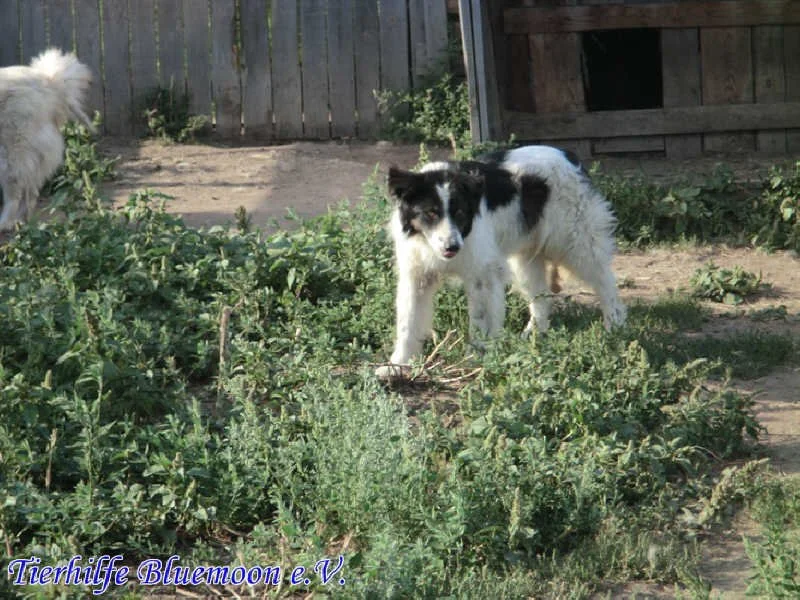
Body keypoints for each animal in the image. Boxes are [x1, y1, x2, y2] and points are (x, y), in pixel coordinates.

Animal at [0, 48, 93, 231]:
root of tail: (51, 83)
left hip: (12, 156)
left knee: (16, 194)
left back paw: (6, 223)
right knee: (30, 193)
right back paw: (22, 222)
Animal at [375, 145, 626, 378]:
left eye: (460, 213)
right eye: (430, 213)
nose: (452, 247)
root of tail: (570, 156)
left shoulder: (482, 273)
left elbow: (480, 319)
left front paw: (477, 356)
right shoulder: (416, 275)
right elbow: (407, 322)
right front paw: (397, 365)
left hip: (576, 243)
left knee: (605, 281)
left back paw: (614, 326)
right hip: (526, 259)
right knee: (541, 295)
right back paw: (534, 336)